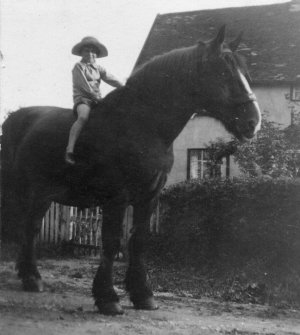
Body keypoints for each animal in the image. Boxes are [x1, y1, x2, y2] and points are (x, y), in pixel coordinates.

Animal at [1, 27, 260, 316]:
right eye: (224, 72)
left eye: (245, 72)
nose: (253, 121)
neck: (141, 124)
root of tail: (15, 119)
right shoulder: (117, 198)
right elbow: (112, 242)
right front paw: (107, 298)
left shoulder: (148, 197)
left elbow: (138, 242)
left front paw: (143, 295)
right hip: (25, 191)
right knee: (27, 227)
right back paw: (31, 277)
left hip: (42, 195)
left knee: (30, 227)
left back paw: (31, 278)